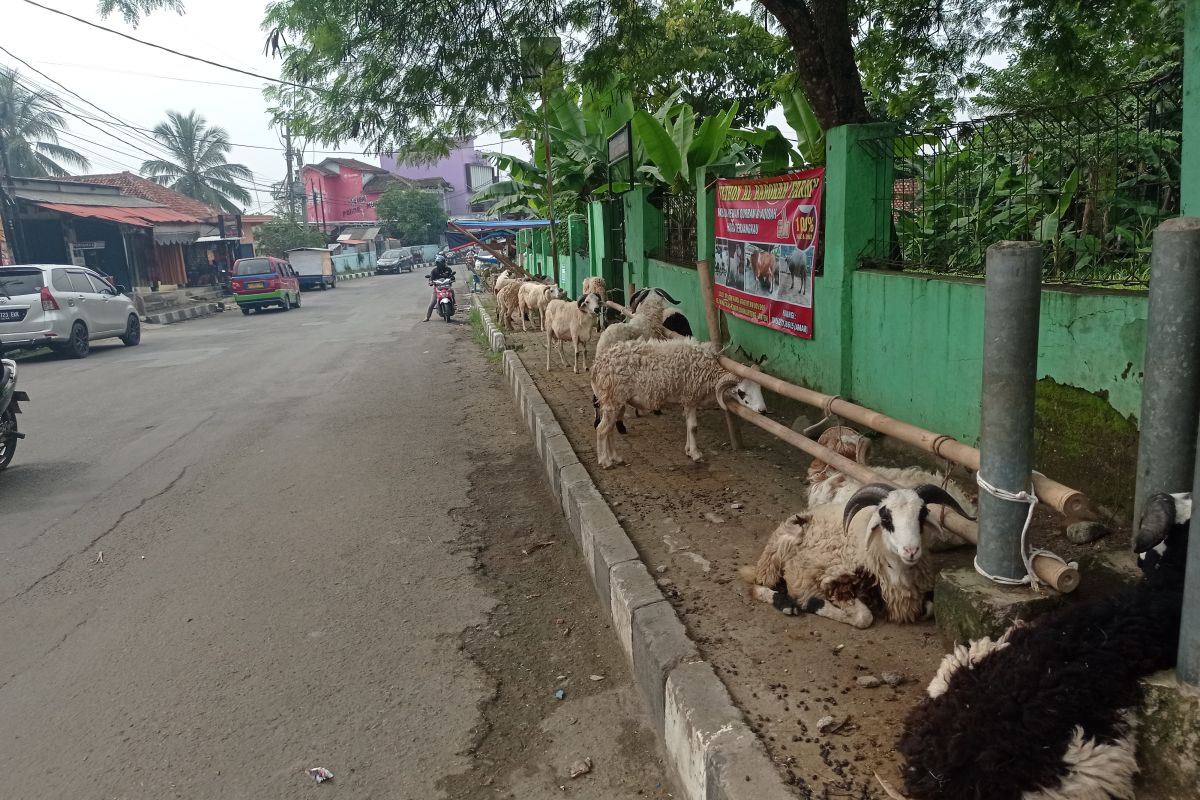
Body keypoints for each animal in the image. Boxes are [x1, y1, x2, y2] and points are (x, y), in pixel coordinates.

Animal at [590, 338, 768, 470]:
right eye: (741, 392)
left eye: (759, 389)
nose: (763, 411)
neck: (708, 371)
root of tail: (598, 365)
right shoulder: (690, 397)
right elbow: (693, 427)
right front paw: (696, 454)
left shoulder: (687, 399)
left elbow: (689, 426)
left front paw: (689, 450)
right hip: (613, 398)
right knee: (602, 429)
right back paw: (605, 461)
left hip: (614, 401)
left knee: (609, 430)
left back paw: (616, 457)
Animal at [739, 482, 974, 633]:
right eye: (885, 518)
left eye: (922, 515)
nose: (911, 551)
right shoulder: (834, 581)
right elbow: (864, 618)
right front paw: (813, 603)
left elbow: (930, 608)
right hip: (775, 556)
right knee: (757, 586)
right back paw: (787, 603)